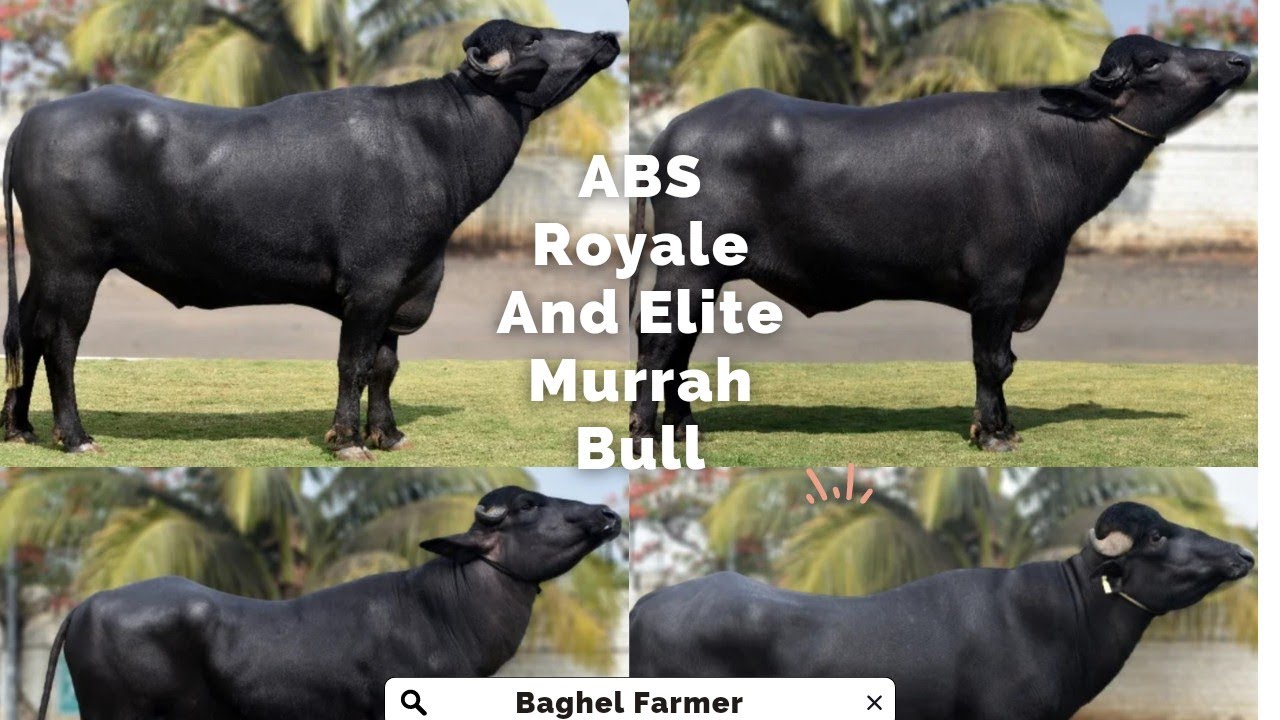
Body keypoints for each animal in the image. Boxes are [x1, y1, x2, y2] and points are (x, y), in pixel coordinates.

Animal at [2, 19, 619, 459]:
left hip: (44, 269)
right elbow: (353, 362)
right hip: (74, 267)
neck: (435, 141)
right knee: (59, 341)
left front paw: (387, 435)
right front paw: (347, 440)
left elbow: (385, 366)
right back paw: (74, 436)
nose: (606, 35)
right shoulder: (371, 286)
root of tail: (34, 118)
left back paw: (20, 428)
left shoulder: (404, 284)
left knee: (23, 331)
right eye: (533, 37)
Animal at [629, 36, 1250, 451]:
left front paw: (1003, 425)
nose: (1238, 59)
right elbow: (994, 360)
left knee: (679, 346)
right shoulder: (999, 284)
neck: (1054, 144)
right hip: (688, 270)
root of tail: (668, 135)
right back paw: (646, 430)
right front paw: (993, 433)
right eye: (1154, 60)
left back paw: (683, 425)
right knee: (659, 344)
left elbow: (1003, 361)